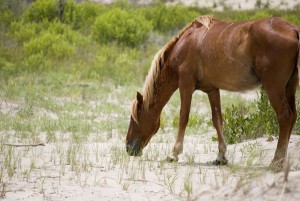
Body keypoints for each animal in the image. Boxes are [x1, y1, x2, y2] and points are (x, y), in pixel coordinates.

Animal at [125, 16, 300, 168]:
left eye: (134, 119)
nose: (128, 147)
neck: (184, 45)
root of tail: (293, 30)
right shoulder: (212, 89)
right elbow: (217, 120)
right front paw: (221, 156)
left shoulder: (186, 85)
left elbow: (183, 118)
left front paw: (173, 154)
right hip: (289, 87)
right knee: (292, 117)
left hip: (274, 87)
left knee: (285, 117)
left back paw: (276, 161)